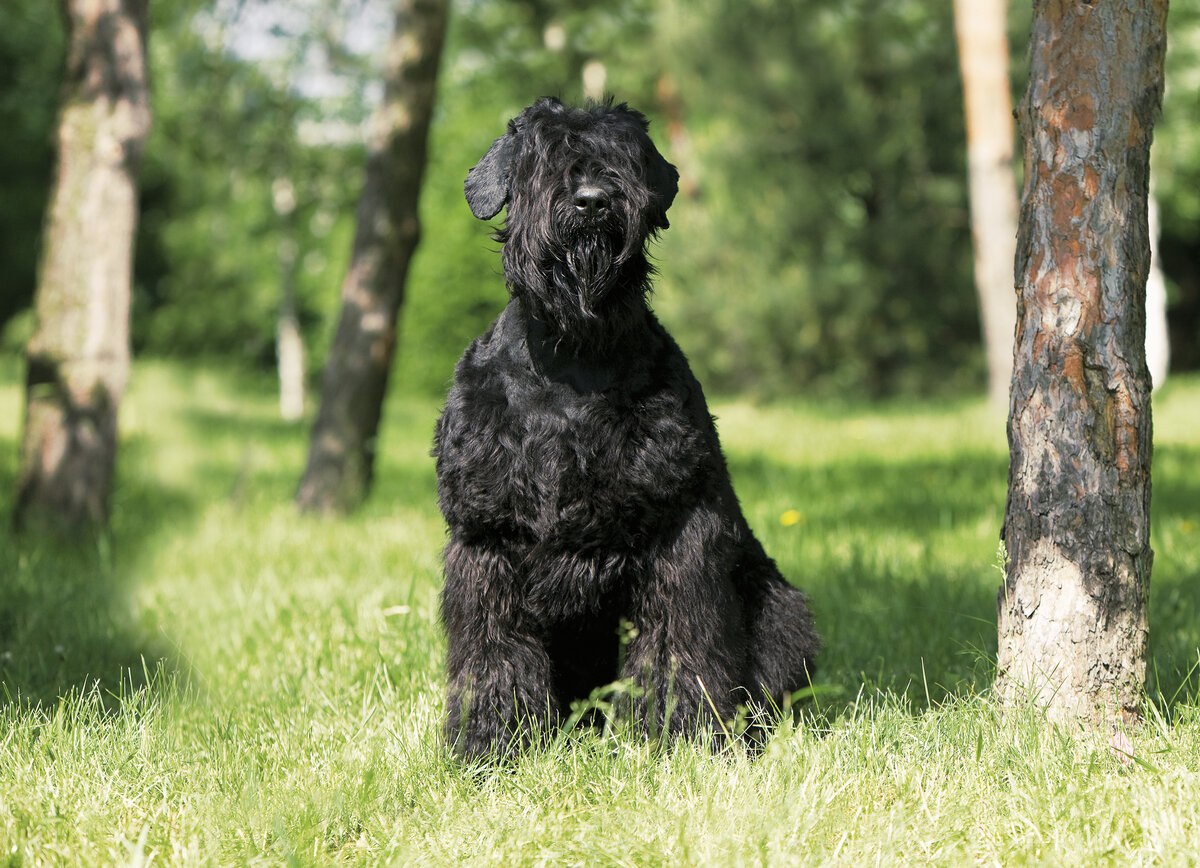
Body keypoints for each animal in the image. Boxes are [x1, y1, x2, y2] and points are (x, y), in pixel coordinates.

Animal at [432, 96, 816, 758]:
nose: (591, 199)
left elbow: (679, 646)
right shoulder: (488, 534)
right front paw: (491, 744)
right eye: (542, 153)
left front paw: (684, 738)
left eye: (626, 157)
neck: (574, 358)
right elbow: (492, 651)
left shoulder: (679, 530)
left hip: (778, 608)